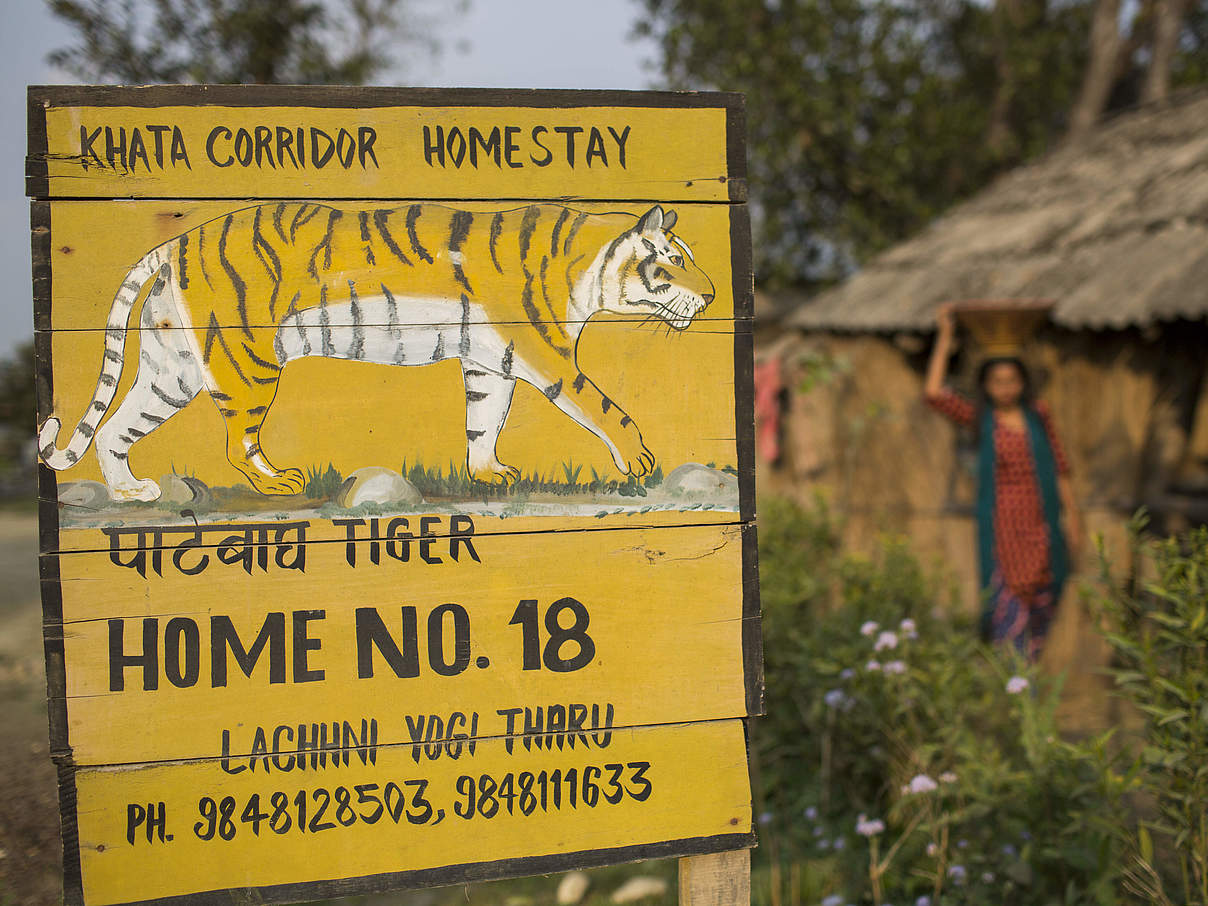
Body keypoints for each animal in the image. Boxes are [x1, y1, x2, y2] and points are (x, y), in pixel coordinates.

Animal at [37, 200, 715, 504]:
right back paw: (277, 482)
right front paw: (640, 460)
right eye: (674, 261)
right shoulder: (545, 354)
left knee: (114, 429)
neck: (590, 264)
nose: (711, 296)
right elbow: (603, 406)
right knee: (234, 439)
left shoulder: (488, 362)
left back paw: (131, 492)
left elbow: (483, 420)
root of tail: (174, 243)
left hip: (170, 370)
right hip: (247, 359)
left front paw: (488, 473)